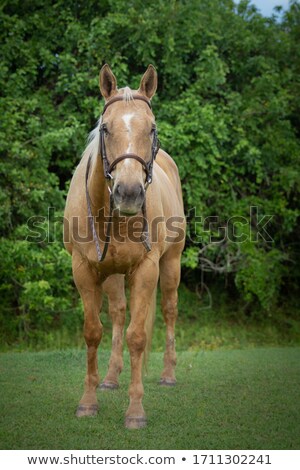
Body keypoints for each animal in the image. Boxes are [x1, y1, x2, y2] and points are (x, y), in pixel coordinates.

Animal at [63, 64, 185, 428]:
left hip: (171, 264)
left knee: (168, 311)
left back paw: (167, 375)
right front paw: (88, 402)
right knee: (118, 314)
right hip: (114, 274)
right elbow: (93, 332)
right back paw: (111, 378)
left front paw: (135, 411)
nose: (128, 193)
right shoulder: (84, 270)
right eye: (105, 128)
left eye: (152, 128)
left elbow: (138, 336)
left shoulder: (146, 269)